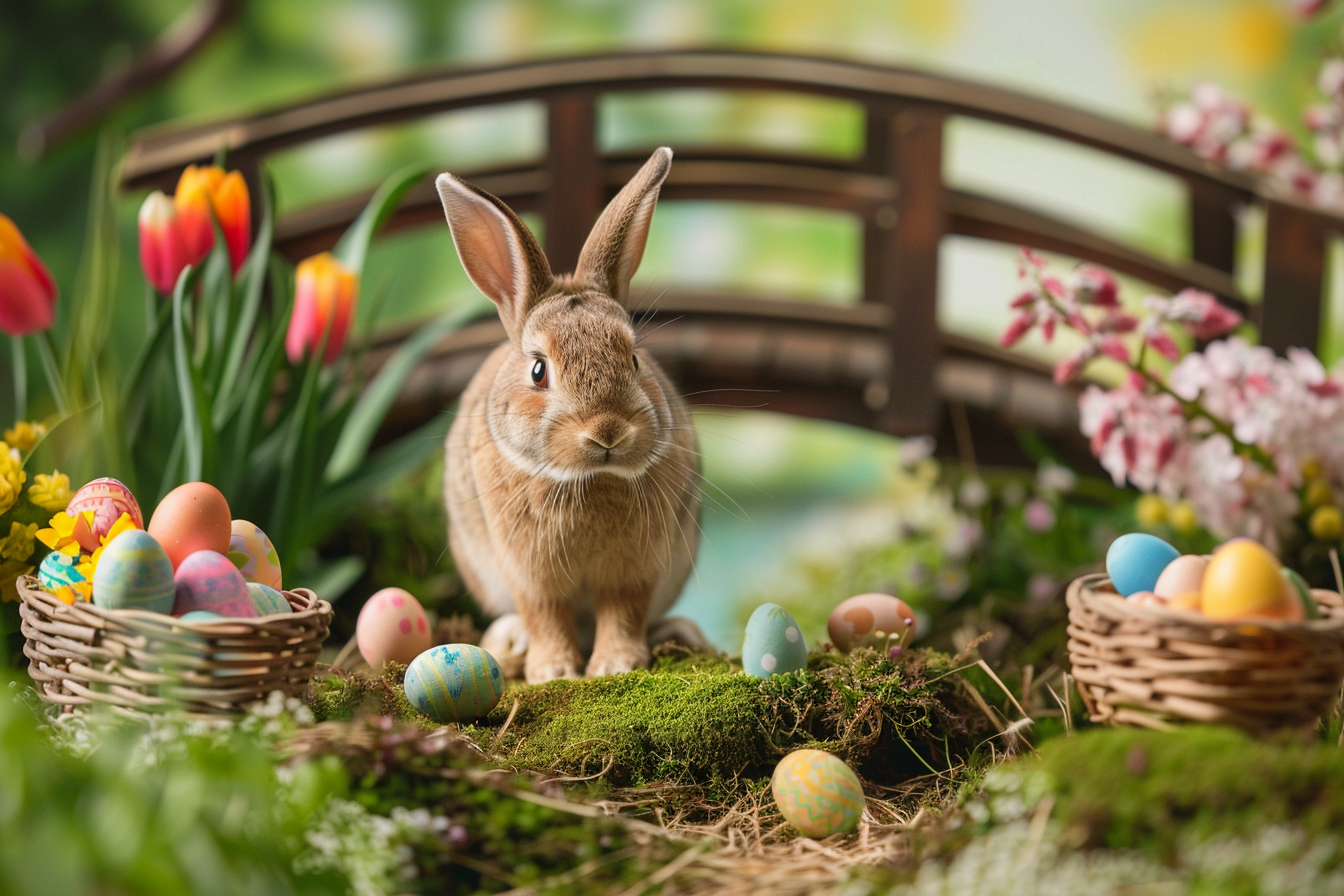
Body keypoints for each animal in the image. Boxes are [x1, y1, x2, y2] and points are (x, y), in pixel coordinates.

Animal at [436, 147, 707, 684]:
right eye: (539, 370)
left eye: (634, 360)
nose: (608, 431)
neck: (588, 478)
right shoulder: (530, 574)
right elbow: (546, 613)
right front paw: (555, 672)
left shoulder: (634, 569)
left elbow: (623, 609)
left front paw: (614, 667)